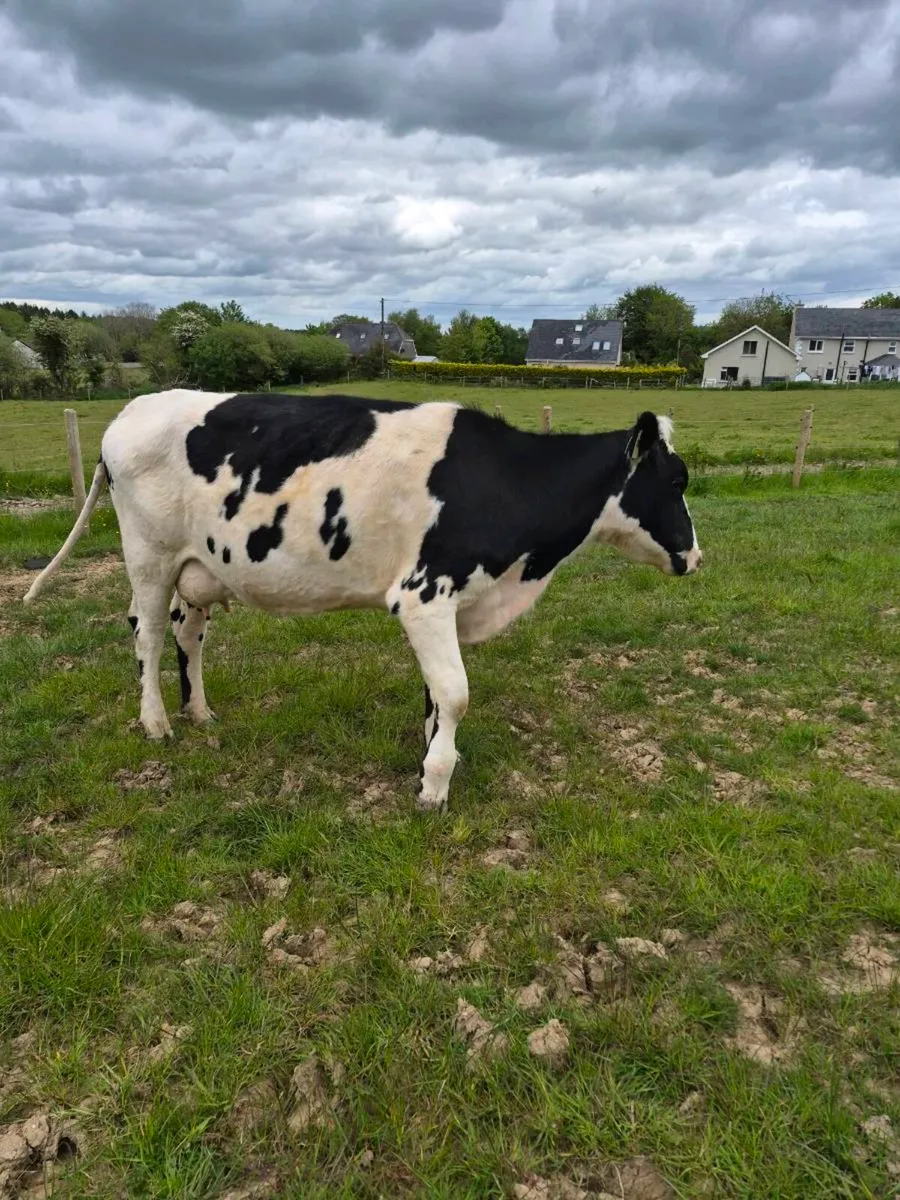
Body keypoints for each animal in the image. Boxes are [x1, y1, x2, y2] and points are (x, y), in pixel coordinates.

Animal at [23, 390, 702, 812]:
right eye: (676, 480)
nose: (696, 557)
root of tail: (132, 411)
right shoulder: (425, 593)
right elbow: (456, 692)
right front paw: (434, 788)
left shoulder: (443, 605)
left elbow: (435, 695)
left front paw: (429, 756)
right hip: (149, 557)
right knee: (147, 635)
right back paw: (157, 724)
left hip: (199, 569)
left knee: (188, 636)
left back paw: (200, 714)